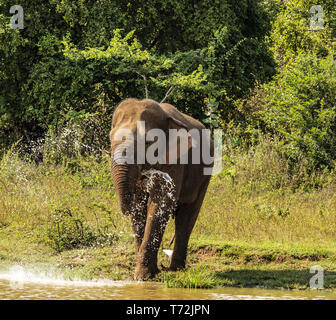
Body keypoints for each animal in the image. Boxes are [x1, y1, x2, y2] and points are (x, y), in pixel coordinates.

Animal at [111, 98, 215, 280]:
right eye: (110, 139)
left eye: (147, 143)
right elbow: (139, 206)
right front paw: (146, 273)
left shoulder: (176, 159)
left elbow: (160, 203)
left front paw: (143, 277)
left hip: (205, 176)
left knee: (186, 217)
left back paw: (175, 269)